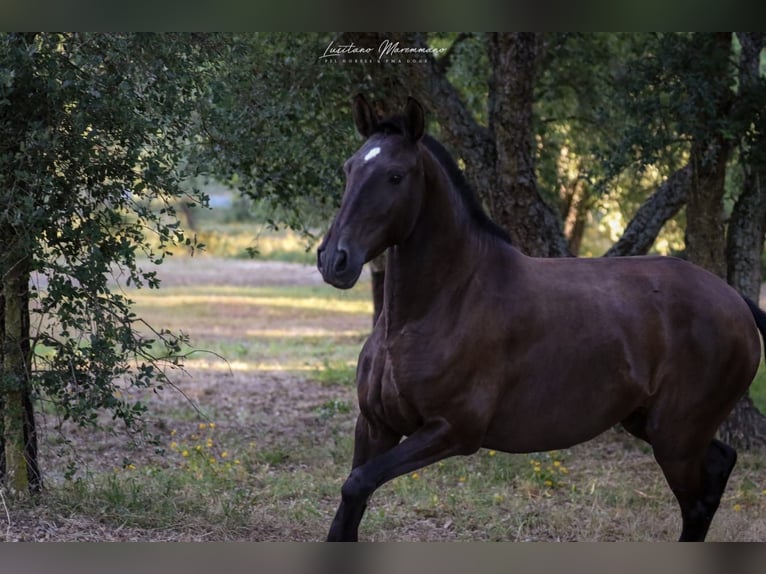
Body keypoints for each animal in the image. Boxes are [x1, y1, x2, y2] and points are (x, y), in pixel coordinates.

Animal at [316, 95, 766, 544]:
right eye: (349, 167)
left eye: (395, 175)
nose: (334, 259)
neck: (437, 307)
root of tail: (734, 300)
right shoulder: (375, 425)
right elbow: (352, 499)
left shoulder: (452, 430)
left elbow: (358, 482)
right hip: (652, 422)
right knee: (719, 465)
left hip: (676, 436)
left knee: (697, 501)